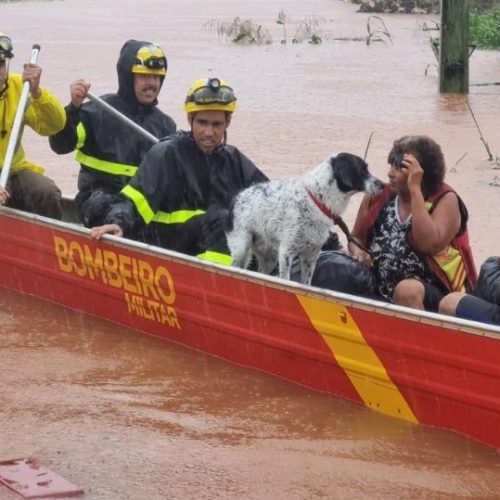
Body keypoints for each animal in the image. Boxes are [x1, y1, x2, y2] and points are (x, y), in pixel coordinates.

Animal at [225, 152, 384, 286]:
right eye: (362, 169)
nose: (383, 184)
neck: (317, 201)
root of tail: (236, 197)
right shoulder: (286, 253)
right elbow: (286, 280)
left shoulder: (311, 256)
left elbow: (306, 284)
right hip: (241, 247)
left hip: (269, 257)